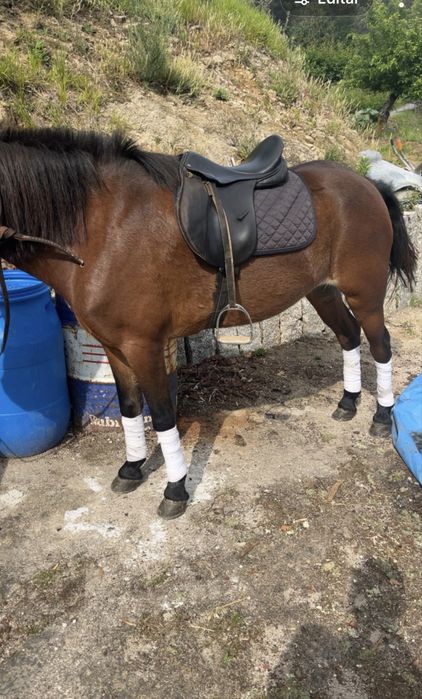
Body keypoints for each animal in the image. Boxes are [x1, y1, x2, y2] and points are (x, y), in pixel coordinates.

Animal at [0, 127, 417, 519]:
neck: (105, 225)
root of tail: (368, 183)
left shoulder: (144, 345)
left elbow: (162, 415)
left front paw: (175, 490)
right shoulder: (113, 347)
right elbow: (130, 407)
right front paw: (132, 469)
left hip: (365, 294)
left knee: (380, 345)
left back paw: (382, 415)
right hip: (323, 292)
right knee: (348, 336)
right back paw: (348, 402)